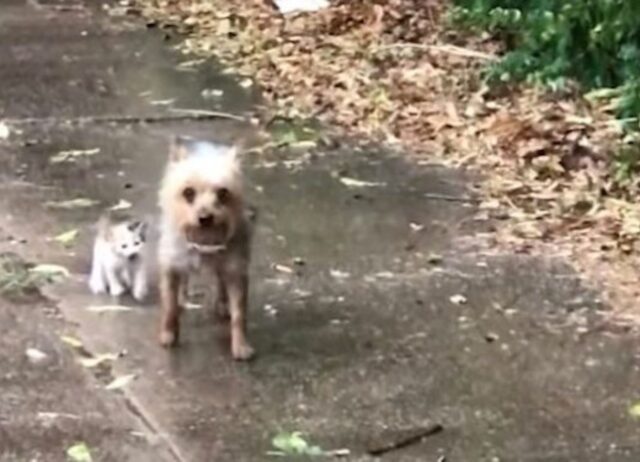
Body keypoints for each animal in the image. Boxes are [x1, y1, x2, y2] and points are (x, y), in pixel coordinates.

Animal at [156, 137, 254, 360]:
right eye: (188, 193)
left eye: (223, 193)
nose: (205, 218)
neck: (204, 240)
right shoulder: (171, 266)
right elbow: (169, 306)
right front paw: (168, 334)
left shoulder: (236, 270)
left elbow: (239, 314)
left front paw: (240, 345)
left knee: (219, 282)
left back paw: (221, 304)